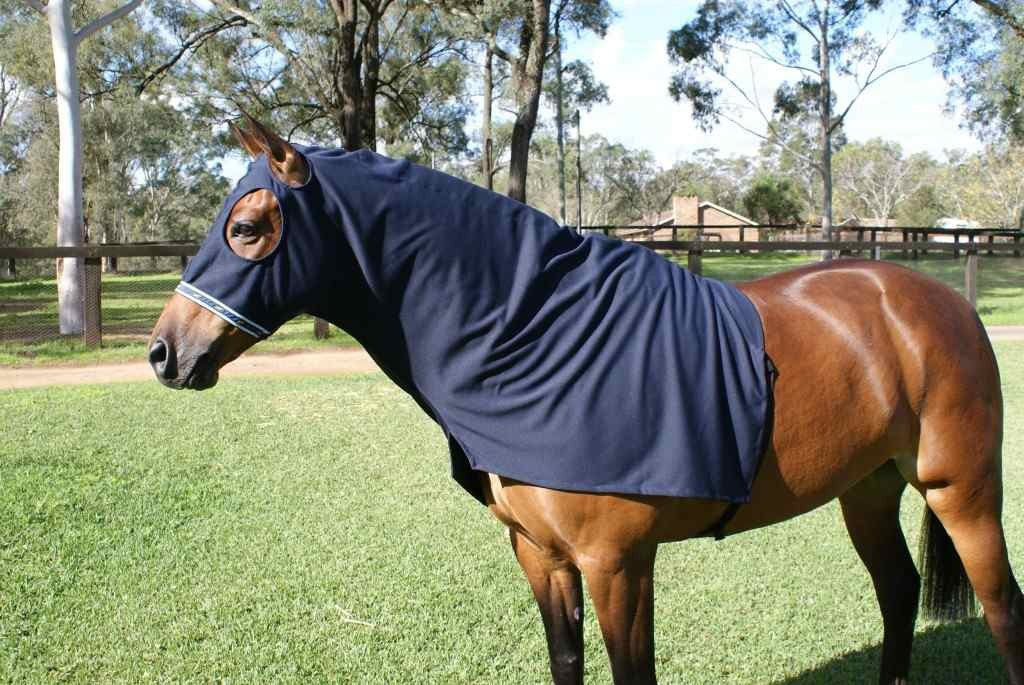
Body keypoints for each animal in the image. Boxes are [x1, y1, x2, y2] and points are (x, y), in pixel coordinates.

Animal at [149, 116, 1023, 684]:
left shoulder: (619, 565)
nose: (164, 351)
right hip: (866, 490)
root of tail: (941, 300)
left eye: (248, 227)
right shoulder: (541, 557)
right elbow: (564, 661)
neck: (539, 331)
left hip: (962, 490)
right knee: (898, 593)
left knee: (1003, 609)